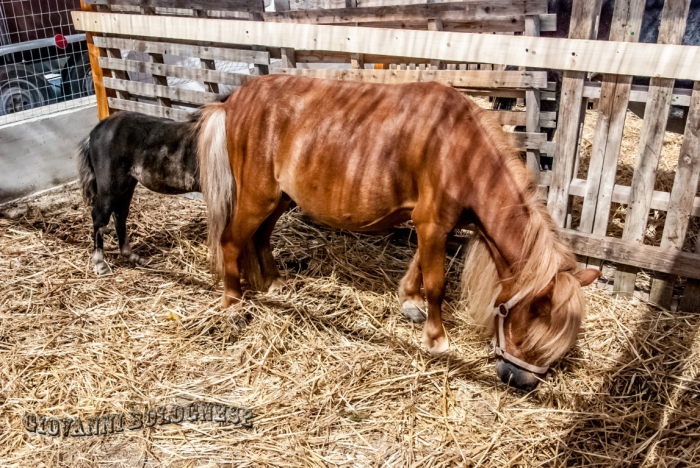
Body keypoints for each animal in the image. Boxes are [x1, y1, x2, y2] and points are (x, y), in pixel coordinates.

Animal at [78, 111, 201, 274]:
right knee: (100, 216)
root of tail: (96, 131)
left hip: (127, 184)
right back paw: (101, 264)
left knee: (119, 214)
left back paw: (132, 256)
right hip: (109, 187)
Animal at [194, 76, 600, 392]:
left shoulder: (433, 223)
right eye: (526, 332)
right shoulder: (433, 223)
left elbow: (420, 266)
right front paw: (436, 339)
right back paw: (232, 303)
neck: (461, 150)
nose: (521, 382)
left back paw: (273, 282)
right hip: (257, 196)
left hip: (279, 197)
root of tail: (232, 100)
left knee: (261, 236)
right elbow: (437, 282)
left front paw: (409, 302)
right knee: (231, 241)